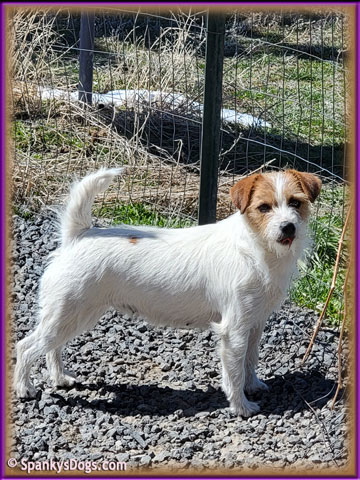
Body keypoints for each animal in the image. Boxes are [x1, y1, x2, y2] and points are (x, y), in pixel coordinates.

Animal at [15, 168, 322, 416]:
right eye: (264, 207)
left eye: (295, 202)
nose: (288, 227)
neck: (257, 249)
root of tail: (77, 236)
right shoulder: (233, 330)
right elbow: (233, 370)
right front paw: (241, 406)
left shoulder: (254, 323)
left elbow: (250, 359)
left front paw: (253, 385)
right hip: (69, 314)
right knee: (26, 347)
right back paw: (24, 388)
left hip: (74, 316)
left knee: (52, 347)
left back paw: (60, 378)